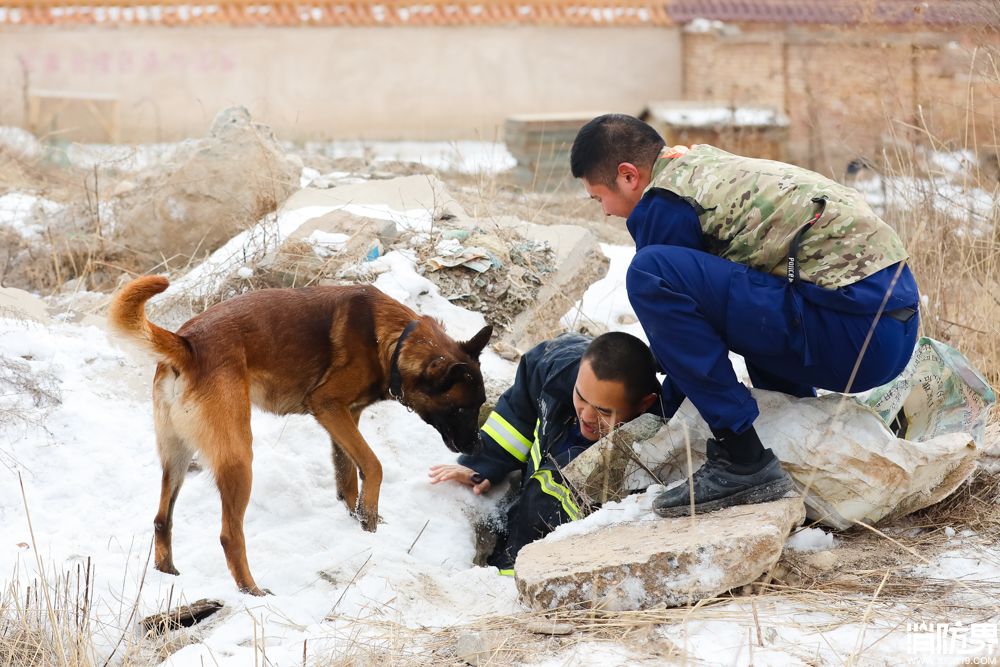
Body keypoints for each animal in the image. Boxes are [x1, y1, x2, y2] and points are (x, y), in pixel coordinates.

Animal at [108, 276, 492, 596]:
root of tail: (187, 344)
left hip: (176, 456)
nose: (476, 446)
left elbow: (347, 476)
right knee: (230, 535)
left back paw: (168, 571)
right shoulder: (328, 405)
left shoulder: (345, 417)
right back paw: (252, 590)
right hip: (239, 459)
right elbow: (373, 465)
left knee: (162, 518)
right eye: (461, 409)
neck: (395, 341)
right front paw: (369, 520)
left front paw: (358, 520)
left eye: (480, 405)